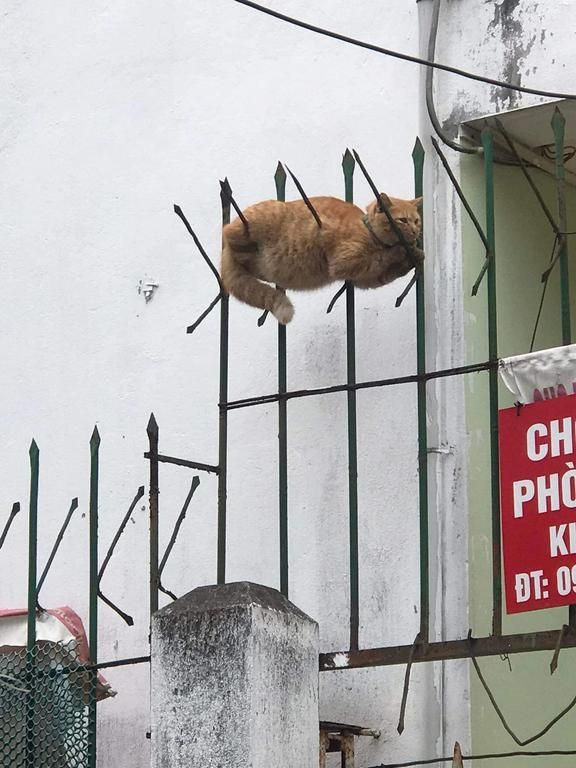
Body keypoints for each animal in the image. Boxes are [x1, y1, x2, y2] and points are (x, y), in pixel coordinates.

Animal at [220, 195, 424, 324]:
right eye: (403, 220)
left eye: (417, 221)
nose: (415, 231)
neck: (369, 231)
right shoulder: (345, 262)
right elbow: (382, 256)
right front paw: (402, 251)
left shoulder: (366, 279)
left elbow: (388, 272)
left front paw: (414, 255)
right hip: (259, 218)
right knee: (227, 231)